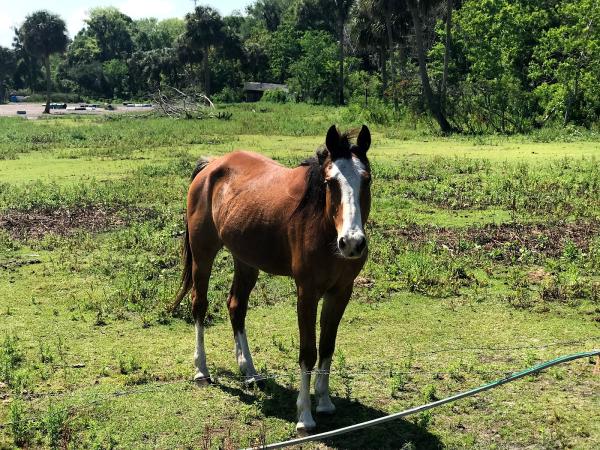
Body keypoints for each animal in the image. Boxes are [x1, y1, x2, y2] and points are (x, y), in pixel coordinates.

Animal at [172, 124, 370, 432]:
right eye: (330, 182)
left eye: (367, 180)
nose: (351, 243)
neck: (322, 226)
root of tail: (212, 165)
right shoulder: (307, 293)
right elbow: (308, 351)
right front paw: (305, 416)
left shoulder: (340, 292)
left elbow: (327, 347)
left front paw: (324, 402)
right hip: (204, 256)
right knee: (199, 306)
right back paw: (201, 370)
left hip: (245, 260)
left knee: (236, 306)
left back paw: (250, 372)